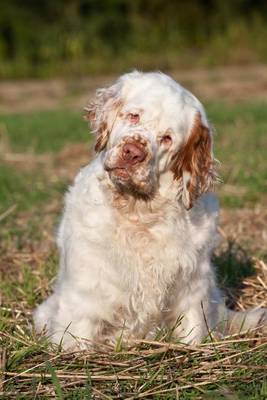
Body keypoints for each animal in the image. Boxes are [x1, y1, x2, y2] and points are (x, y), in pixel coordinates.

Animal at [34, 72, 267, 350]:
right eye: (134, 116)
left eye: (167, 138)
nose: (133, 152)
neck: (139, 214)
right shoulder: (84, 294)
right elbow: (77, 336)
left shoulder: (193, 290)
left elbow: (194, 331)